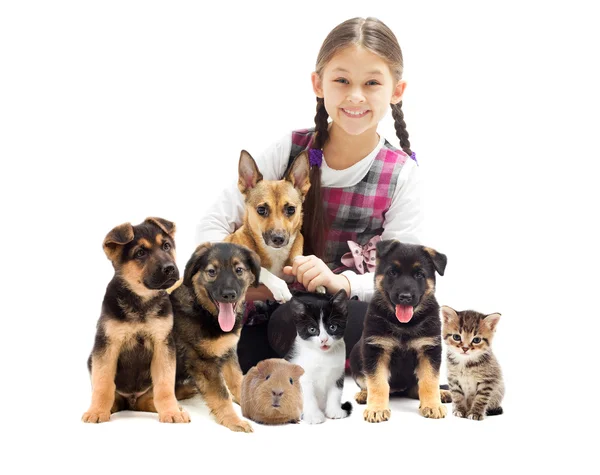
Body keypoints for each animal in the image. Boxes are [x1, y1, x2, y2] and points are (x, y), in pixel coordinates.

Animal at [82, 218, 190, 424]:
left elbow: (165, 386)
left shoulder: (163, 344)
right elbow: (103, 383)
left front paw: (171, 412)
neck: (141, 301)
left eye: (166, 246)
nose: (170, 268)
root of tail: (131, 402)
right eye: (140, 253)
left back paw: (174, 408)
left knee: (152, 398)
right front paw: (97, 411)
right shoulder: (107, 344)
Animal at [171, 244, 260, 434]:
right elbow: (221, 395)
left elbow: (238, 381)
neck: (204, 310)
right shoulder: (204, 362)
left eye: (239, 270)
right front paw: (234, 420)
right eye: (212, 272)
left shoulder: (227, 352)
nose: (228, 295)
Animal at [284, 288, 352, 426]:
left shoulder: (338, 372)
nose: (323, 339)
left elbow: (336, 392)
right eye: (312, 329)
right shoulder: (302, 376)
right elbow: (308, 396)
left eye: (332, 327)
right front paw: (313, 416)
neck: (322, 356)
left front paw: (334, 411)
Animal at [346, 242, 450, 424]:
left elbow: (429, 381)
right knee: (367, 383)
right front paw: (376, 409)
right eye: (393, 272)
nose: (405, 297)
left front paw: (432, 405)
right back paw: (364, 394)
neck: (404, 325)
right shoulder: (376, 349)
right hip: (356, 356)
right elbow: (377, 383)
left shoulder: (429, 350)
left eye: (419, 275)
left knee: (416, 388)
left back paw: (441, 393)